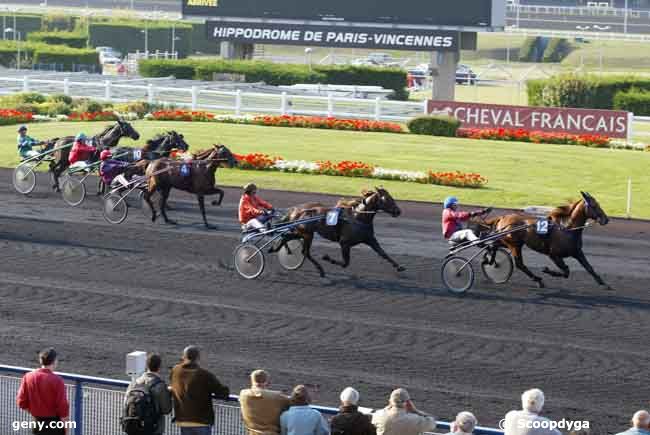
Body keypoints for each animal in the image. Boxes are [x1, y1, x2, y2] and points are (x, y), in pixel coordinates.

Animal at [274, 186, 404, 276]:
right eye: (386, 199)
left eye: (392, 197)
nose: (398, 211)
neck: (357, 217)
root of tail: (295, 209)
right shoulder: (344, 243)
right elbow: (345, 263)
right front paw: (327, 258)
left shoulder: (370, 239)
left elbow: (383, 253)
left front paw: (399, 266)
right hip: (306, 233)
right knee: (302, 249)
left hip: (302, 232)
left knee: (289, 239)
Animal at [480, 192, 608, 290]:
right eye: (594, 205)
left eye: (598, 204)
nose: (606, 219)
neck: (567, 229)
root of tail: (503, 217)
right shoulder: (554, 255)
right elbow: (566, 271)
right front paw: (547, 270)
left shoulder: (577, 252)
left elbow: (589, 267)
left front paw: (604, 283)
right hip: (514, 244)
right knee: (519, 263)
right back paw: (537, 279)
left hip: (508, 241)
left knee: (494, 245)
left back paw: (490, 260)